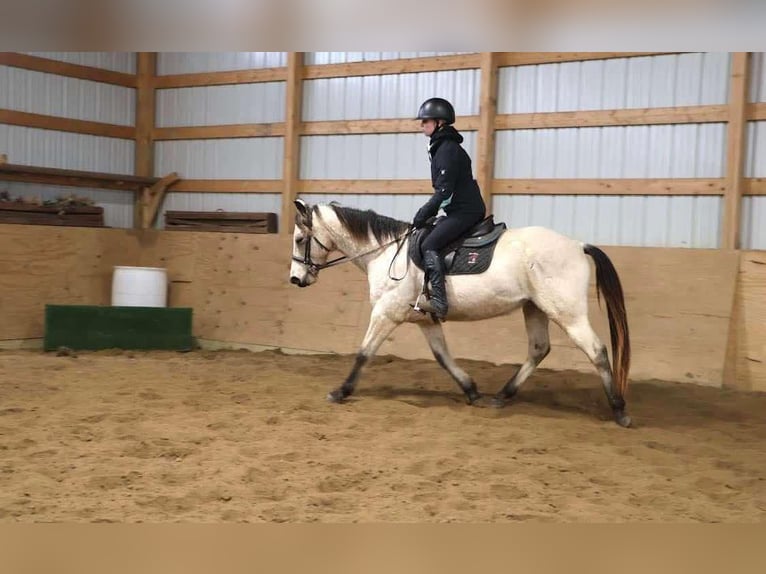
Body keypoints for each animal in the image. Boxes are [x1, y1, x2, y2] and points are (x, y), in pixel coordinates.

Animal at [288, 199, 632, 428]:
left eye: (300, 239)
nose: (295, 279)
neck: (386, 253)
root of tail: (577, 245)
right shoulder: (424, 319)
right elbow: (442, 356)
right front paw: (471, 390)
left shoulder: (386, 313)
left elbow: (363, 352)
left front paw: (341, 391)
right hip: (535, 308)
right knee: (539, 349)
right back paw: (501, 396)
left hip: (567, 312)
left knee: (596, 351)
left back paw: (619, 410)